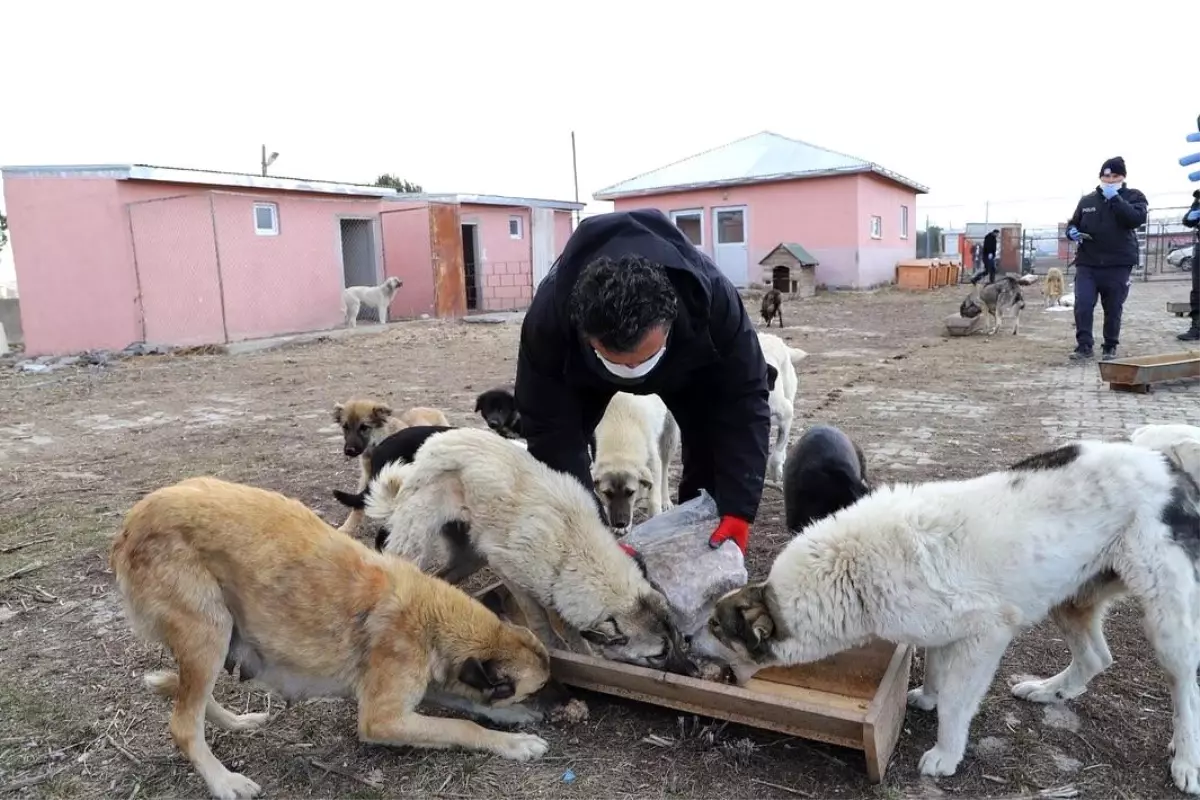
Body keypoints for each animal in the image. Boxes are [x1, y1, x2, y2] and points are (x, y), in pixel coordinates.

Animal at [110, 479, 549, 796]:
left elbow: (468, 704)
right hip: (209, 633)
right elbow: (463, 728)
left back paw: (238, 722)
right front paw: (514, 743)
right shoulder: (382, 718)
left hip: (213, 641)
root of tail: (130, 524)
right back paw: (224, 782)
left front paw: (512, 718)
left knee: (194, 705)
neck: (431, 617)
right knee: (184, 724)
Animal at [333, 400, 451, 537]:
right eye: (345, 427)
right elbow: (358, 504)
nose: (349, 451)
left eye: (364, 427)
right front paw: (347, 527)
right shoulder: (368, 477)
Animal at [592, 393, 681, 532]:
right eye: (607, 493)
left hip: (669, 437)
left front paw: (656, 518)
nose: (620, 524)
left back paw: (666, 501)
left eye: (630, 493)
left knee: (665, 466)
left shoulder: (653, 462)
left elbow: (653, 498)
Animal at [700, 438, 1200, 796]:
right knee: (1097, 657)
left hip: (1166, 620)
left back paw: (1186, 760)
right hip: (1071, 597)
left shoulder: (986, 635)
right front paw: (926, 696)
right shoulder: (940, 632)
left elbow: (957, 704)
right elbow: (935, 672)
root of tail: (1168, 465)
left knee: (1186, 689)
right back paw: (1047, 690)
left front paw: (945, 753)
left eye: (714, 626)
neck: (851, 571)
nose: (686, 643)